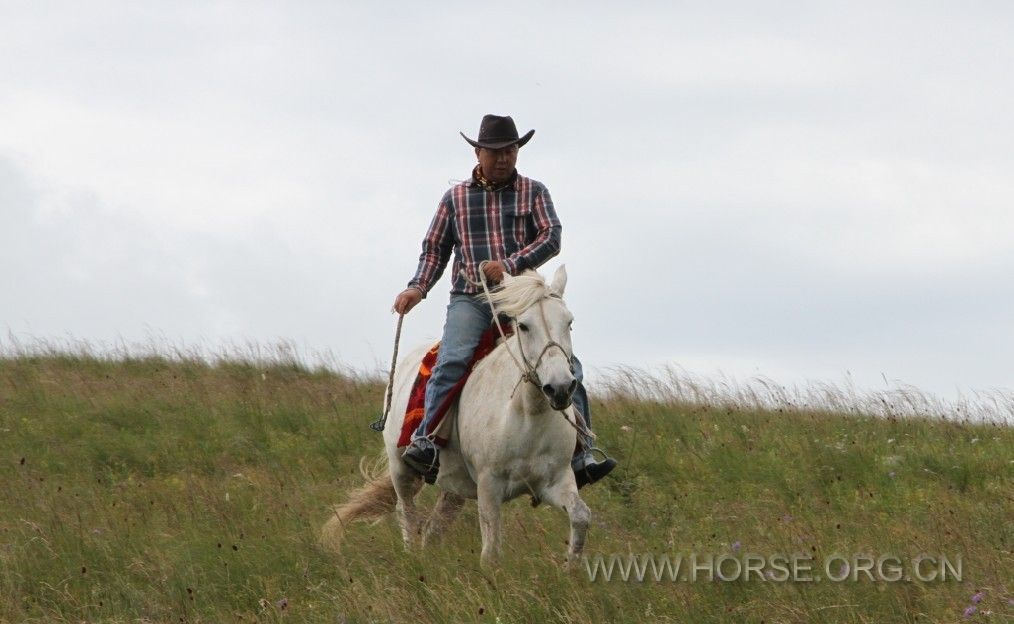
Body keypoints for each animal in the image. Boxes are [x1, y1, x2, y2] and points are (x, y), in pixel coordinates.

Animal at [320, 265, 592, 568]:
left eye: (569, 322)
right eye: (524, 325)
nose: (560, 388)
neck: (527, 415)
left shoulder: (555, 480)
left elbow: (581, 516)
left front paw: (570, 568)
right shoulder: (489, 486)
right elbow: (491, 552)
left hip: (454, 488)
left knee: (432, 530)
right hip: (401, 470)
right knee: (408, 517)